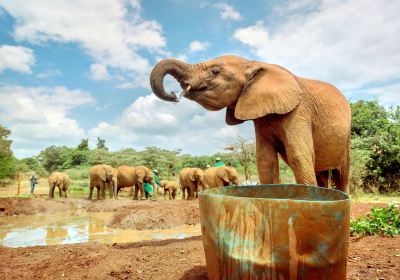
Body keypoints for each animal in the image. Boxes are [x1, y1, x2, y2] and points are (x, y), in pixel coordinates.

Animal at [152, 55, 352, 194]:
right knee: (321, 173)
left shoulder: (299, 111)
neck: (253, 63)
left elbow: (298, 156)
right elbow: (265, 161)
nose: (173, 96)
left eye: (215, 71)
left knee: (341, 174)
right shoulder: (261, 119)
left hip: (346, 138)